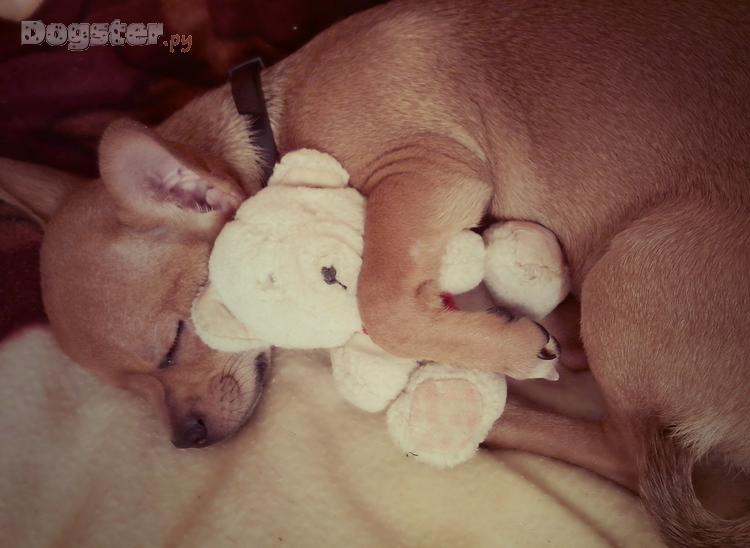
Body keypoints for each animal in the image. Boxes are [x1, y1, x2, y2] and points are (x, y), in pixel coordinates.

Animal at [1, 1, 748, 545]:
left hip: (635, 264)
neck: (273, 126)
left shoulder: (426, 171)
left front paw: (502, 348)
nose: (185, 440)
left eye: (175, 342)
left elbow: (381, 304)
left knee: (627, 451)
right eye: (130, 388)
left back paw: (487, 410)